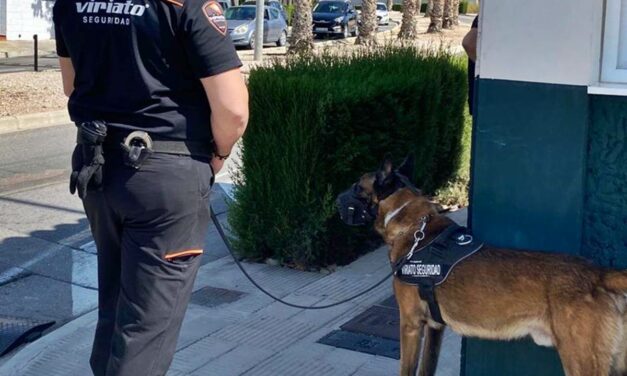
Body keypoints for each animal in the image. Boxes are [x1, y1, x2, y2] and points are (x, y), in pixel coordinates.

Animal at [338, 156, 627, 376]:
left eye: (356, 186)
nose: (334, 200)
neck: (414, 227)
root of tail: (598, 274)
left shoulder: (410, 324)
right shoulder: (435, 328)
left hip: (581, 362)